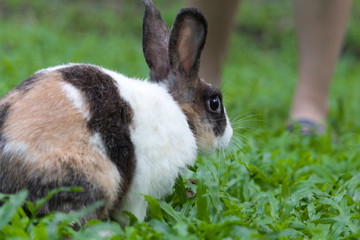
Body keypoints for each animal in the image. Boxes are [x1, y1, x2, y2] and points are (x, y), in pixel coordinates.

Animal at [0, 0, 232, 225]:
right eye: (214, 102)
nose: (229, 136)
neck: (180, 114)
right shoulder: (140, 192)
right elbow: (132, 214)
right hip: (95, 179)